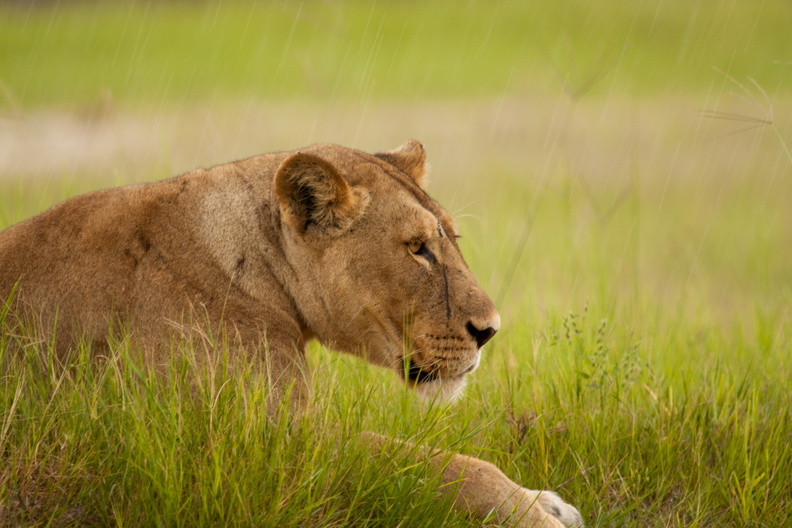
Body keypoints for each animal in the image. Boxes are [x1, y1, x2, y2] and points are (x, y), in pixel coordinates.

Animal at [0, 140, 582, 527]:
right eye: (417, 248)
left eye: (451, 241)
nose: (490, 332)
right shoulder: (266, 444)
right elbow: (426, 461)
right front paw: (532, 511)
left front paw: (543, 500)